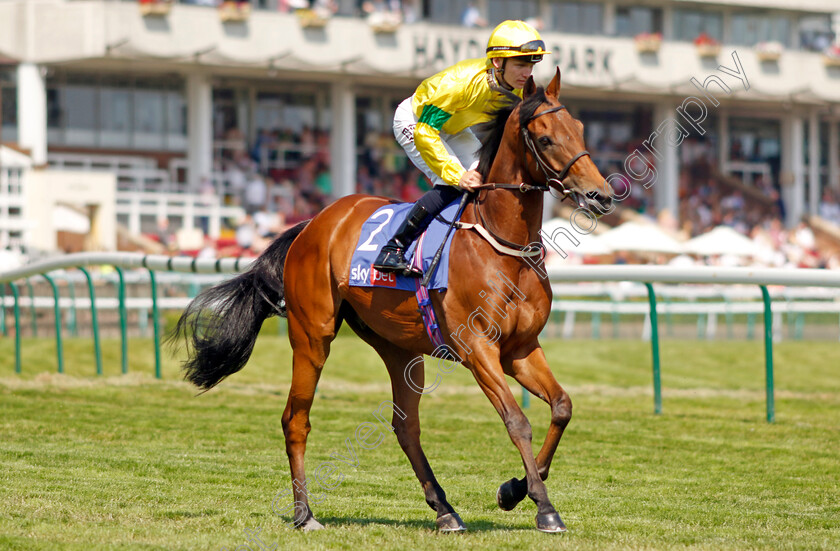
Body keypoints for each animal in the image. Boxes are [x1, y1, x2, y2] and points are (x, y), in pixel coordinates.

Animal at [174, 69, 612, 536]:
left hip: (398, 347)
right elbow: (517, 421)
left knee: (406, 426)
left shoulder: (521, 349)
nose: (601, 195)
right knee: (296, 418)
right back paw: (305, 514)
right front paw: (543, 506)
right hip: (312, 334)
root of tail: (314, 222)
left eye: (580, 129)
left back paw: (445, 510)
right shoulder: (478, 349)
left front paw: (514, 490)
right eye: (545, 138)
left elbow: (562, 407)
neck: (501, 246)